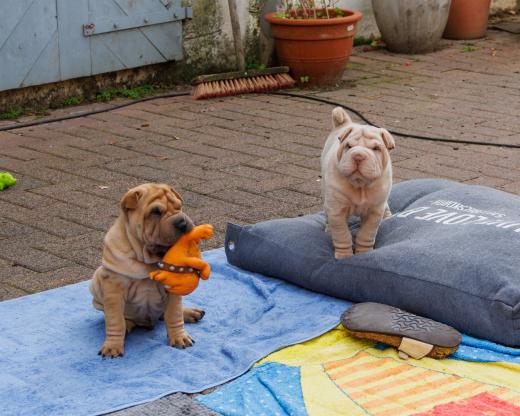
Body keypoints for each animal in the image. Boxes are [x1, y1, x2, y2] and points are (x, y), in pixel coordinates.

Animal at [90, 183, 205, 358]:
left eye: (179, 207)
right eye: (155, 212)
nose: (182, 222)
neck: (148, 258)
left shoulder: (173, 289)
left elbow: (174, 314)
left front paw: (180, 337)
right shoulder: (114, 289)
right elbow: (115, 320)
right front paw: (112, 346)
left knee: (166, 314)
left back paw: (191, 313)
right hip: (97, 283)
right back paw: (128, 323)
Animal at [321, 107, 395, 259]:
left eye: (376, 148)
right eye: (348, 146)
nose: (358, 155)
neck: (360, 185)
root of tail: (344, 123)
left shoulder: (374, 212)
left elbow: (366, 234)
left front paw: (364, 253)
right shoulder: (337, 211)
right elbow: (342, 235)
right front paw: (345, 256)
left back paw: (387, 215)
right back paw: (329, 228)